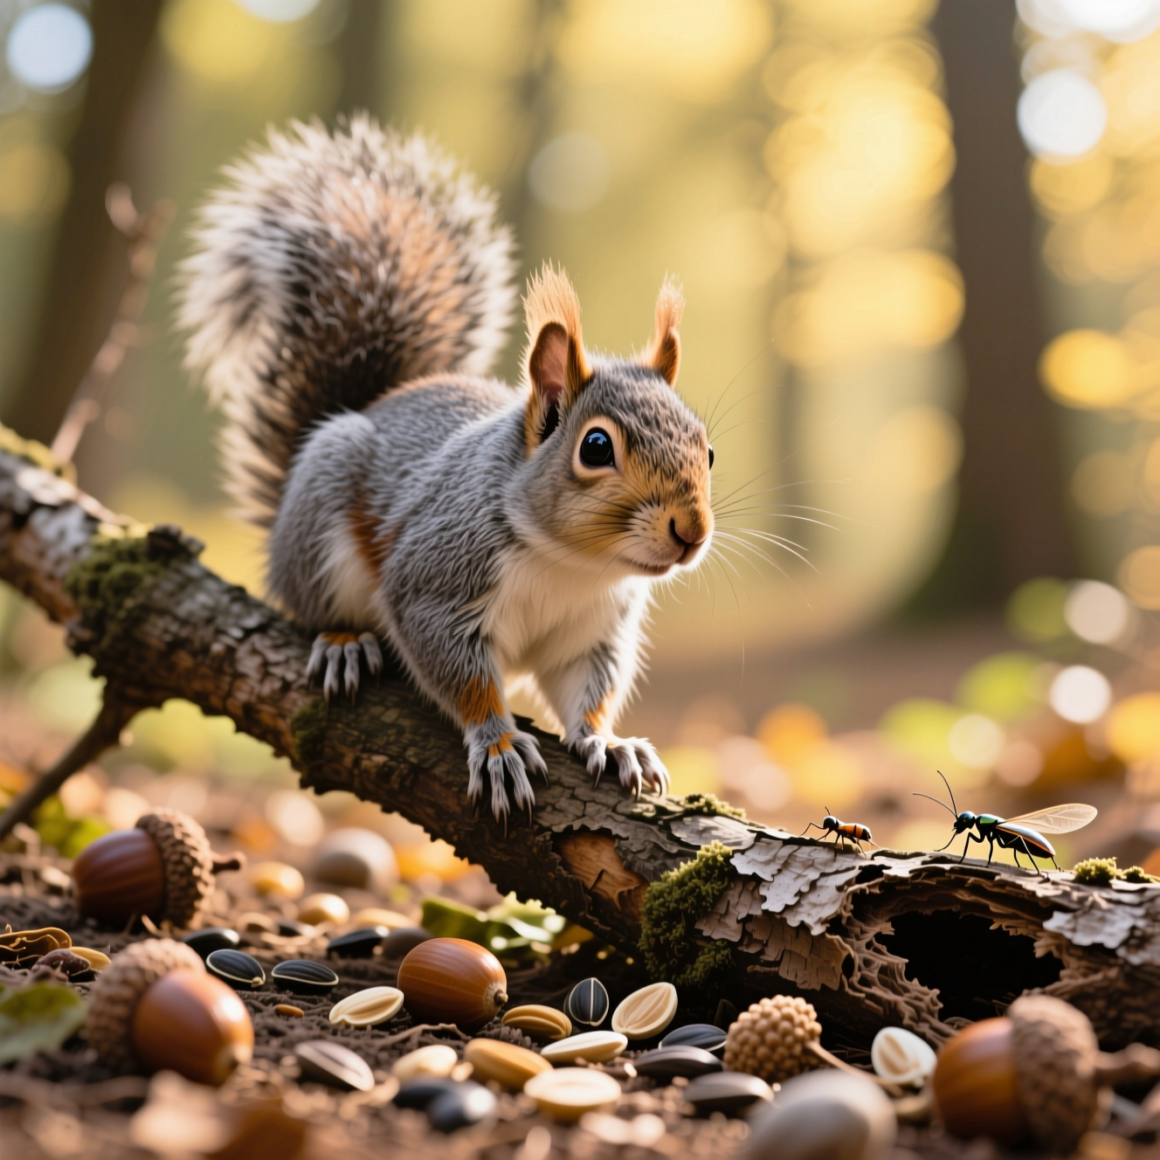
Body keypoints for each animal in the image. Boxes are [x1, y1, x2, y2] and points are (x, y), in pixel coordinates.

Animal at [178, 116, 714, 824]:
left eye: (709, 449)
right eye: (596, 447)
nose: (693, 531)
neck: (571, 566)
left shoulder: (591, 630)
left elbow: (586, 687)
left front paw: (608, 740)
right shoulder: (434, 578)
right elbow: (459, 674)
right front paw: (498, 746)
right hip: (321, 521)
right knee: (312, 602)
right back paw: (345, 641)